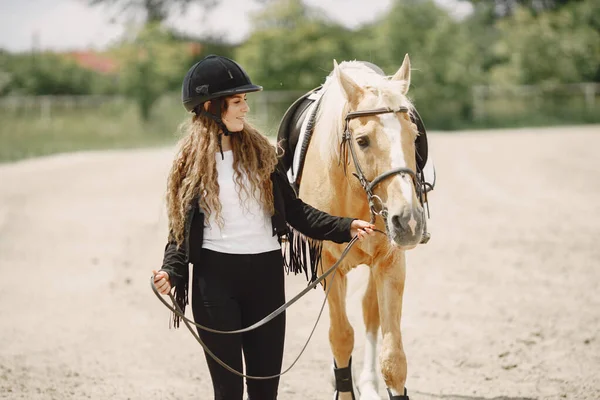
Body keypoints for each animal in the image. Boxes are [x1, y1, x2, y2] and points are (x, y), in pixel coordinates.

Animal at [276, 54, 432, 400]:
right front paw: (342, 383)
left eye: (414, 136)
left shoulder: (390, 262)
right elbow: (341, 337)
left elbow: (393, 359)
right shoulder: (328, 265)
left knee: (369, 313)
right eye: (362, 141)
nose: (409, 220)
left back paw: (369, 384)